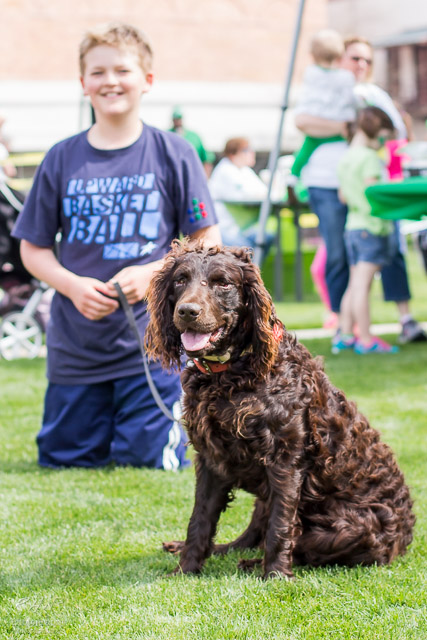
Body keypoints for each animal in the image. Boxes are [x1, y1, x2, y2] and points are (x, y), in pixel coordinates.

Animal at [145, 240, 416, 580]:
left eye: (223, 283)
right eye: (181, 280)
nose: (187, 312)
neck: (233, 373)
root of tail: (405, 537)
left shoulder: (285, 460)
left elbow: (280, 525)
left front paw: (275, 575)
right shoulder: (211, 459)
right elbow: (200, 521)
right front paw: (185, 569)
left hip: (350, 528)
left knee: (303, 546)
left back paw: (254, 564)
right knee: (249, 534)